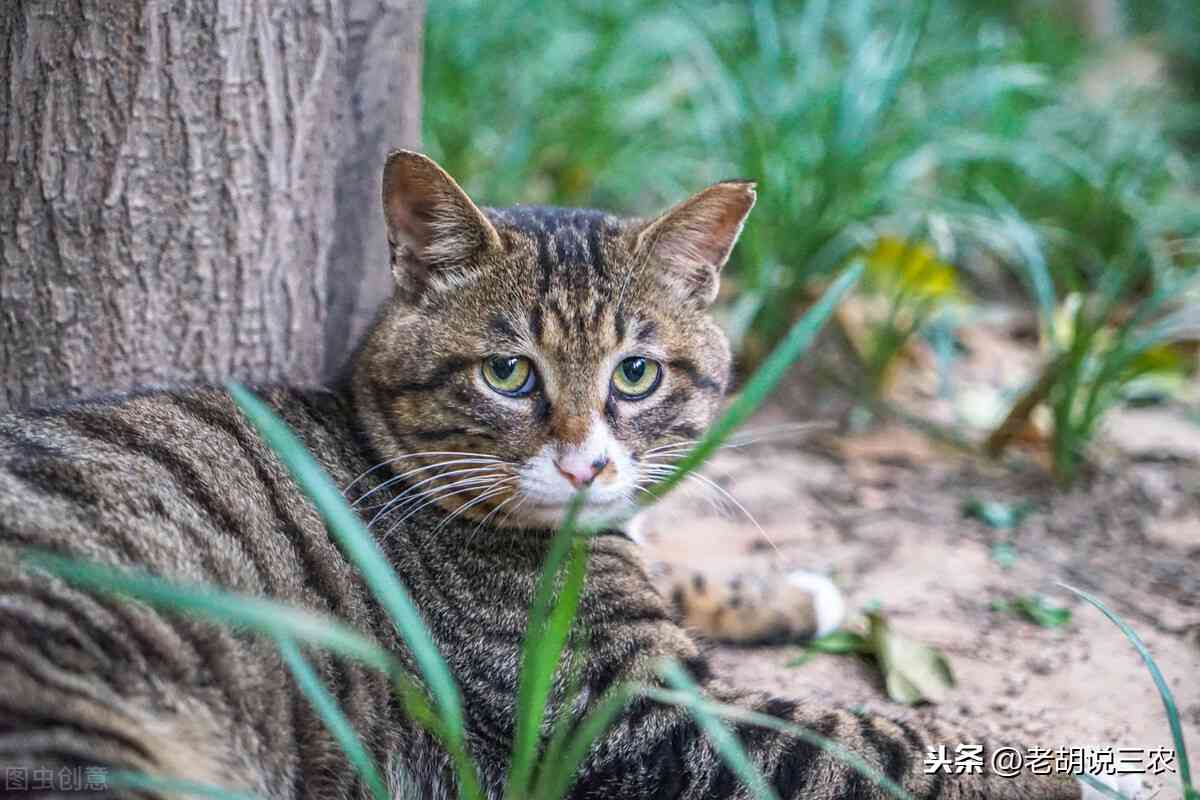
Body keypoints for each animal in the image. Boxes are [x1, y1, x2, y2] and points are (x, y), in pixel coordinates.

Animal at [0, 151, 1132, 800]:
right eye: (509, 373)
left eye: (636, 373)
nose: (587, 459)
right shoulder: (626, 720)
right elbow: (862, 742)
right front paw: (1040, 770)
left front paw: (784, 590)